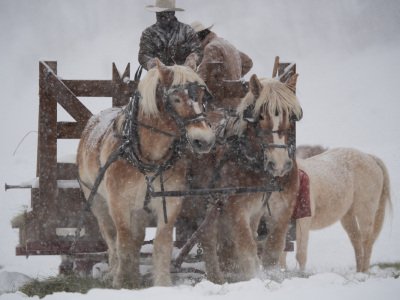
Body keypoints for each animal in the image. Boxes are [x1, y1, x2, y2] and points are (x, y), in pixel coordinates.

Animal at [76, 59, 214, 288]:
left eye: (202, 97)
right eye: (176, 98)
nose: (204, 141)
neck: (150, 159)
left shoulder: (170, 202)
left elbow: (161, 244)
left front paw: (162, 283)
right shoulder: (118, 203)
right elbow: (122, 241)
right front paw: (121, 281)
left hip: (140, 209)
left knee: (137, 239)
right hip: (96, 200)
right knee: (110, 236)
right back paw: (113, 271)